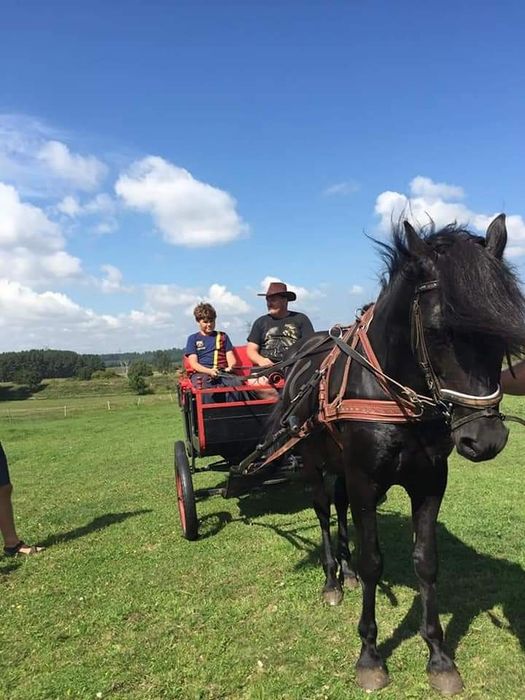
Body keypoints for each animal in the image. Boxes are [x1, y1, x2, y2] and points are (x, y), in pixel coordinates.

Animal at [264, 213, 524, 696]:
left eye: (500, 331)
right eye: (438, 331)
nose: (486, 440)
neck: (394, 392)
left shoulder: (430, 482)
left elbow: (426, 562)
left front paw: (439, 656)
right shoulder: (366, 480)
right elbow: (373, 563)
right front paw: (370, 654)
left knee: (340, 507)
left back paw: (344, 571)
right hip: (312, 462)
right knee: (324, 510)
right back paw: (333, 578)